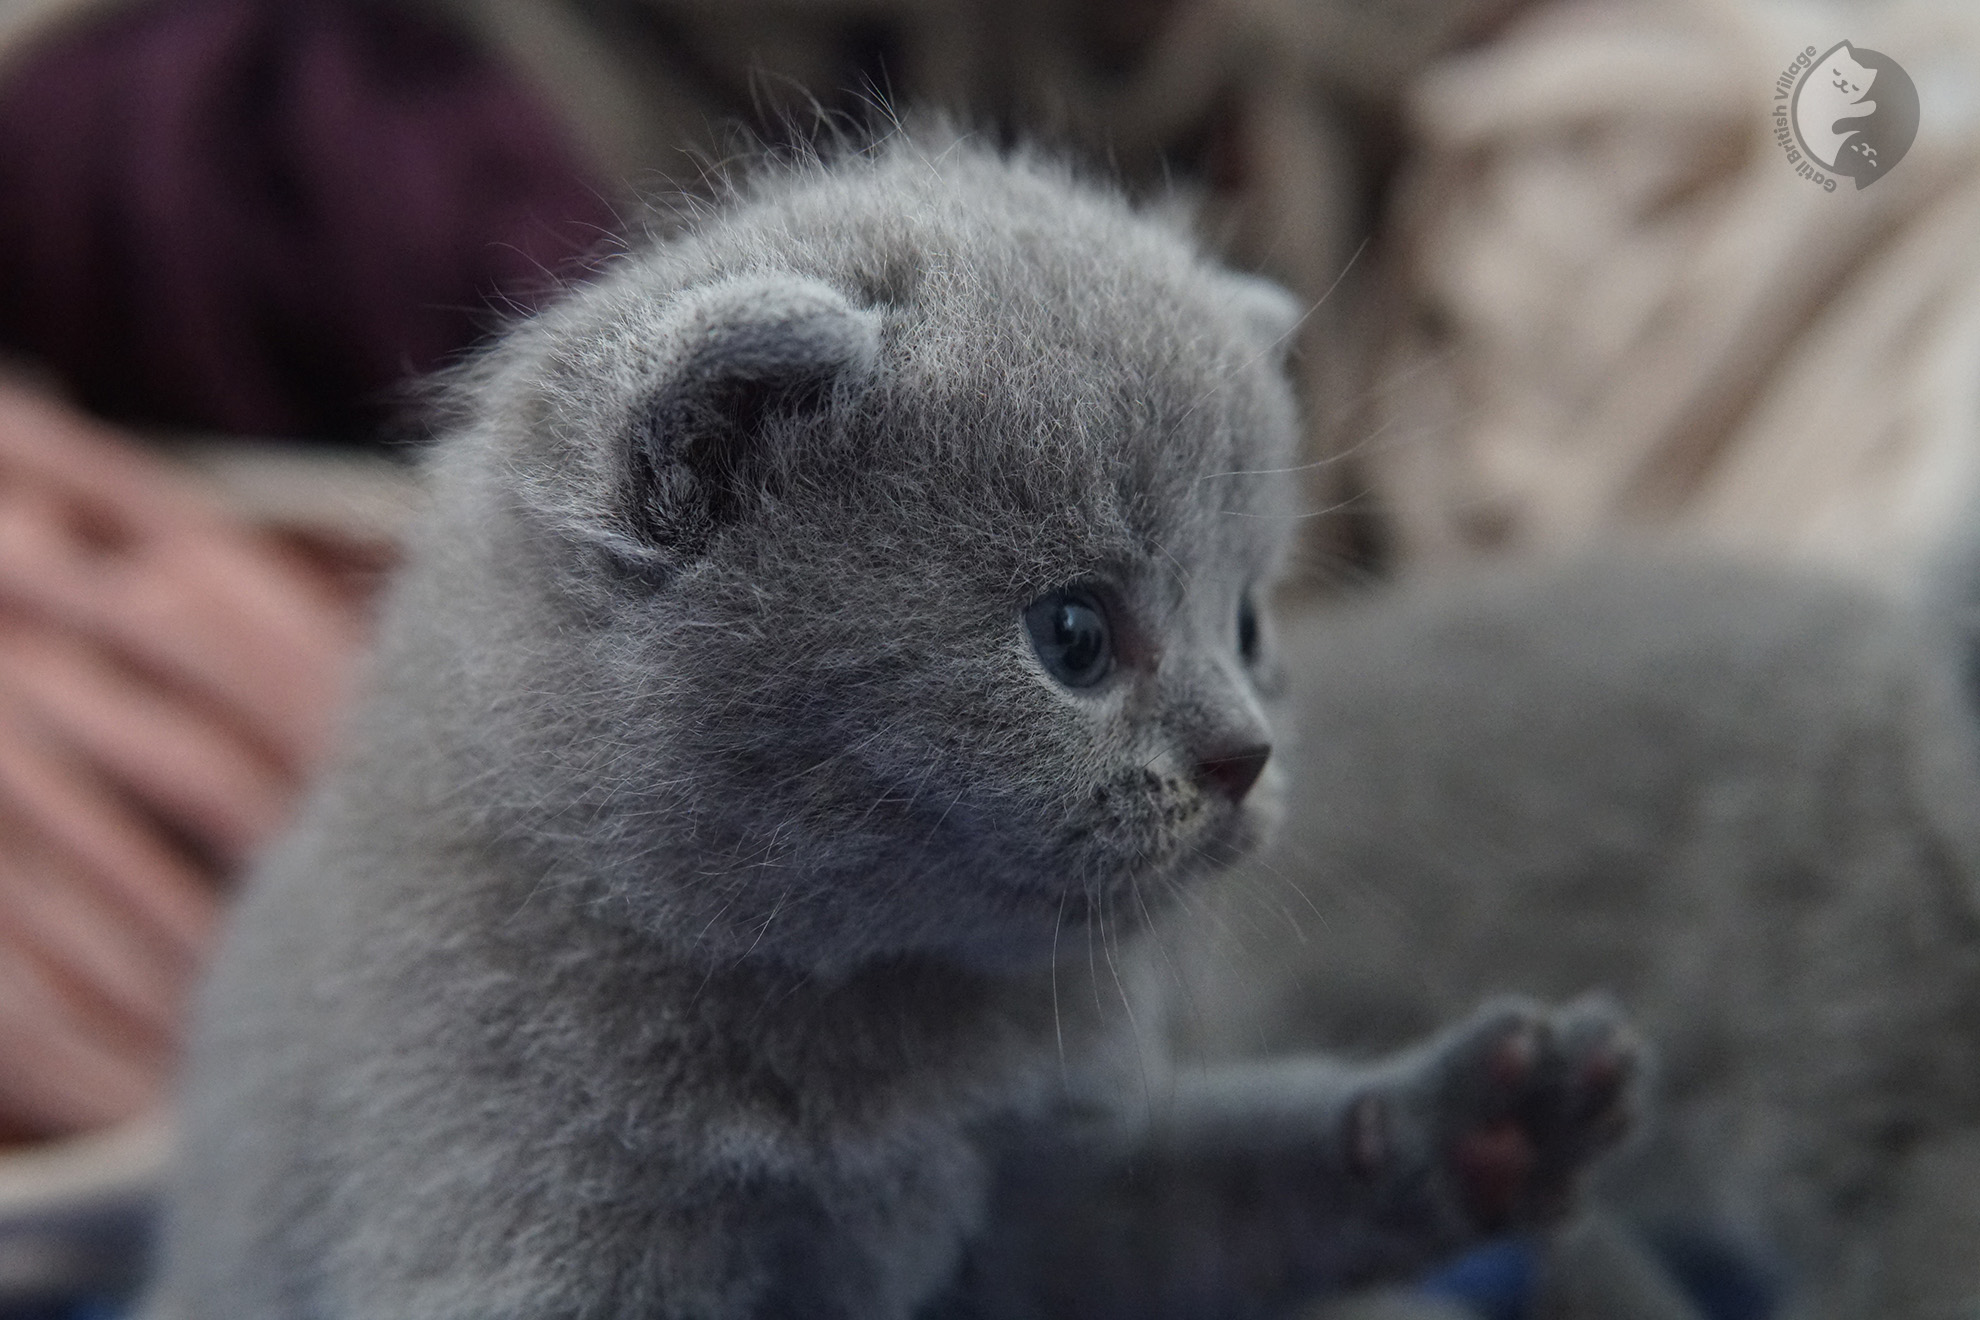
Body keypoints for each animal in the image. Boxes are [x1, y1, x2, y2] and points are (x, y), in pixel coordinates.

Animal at [150, 142, 1639, 1320]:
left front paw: (1491, 1120)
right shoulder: (510, 1208)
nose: (1243, 757)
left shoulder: (1041, 1199)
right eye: (1074, 635)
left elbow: (1224, 1190)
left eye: (1252, 624)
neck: (880, 1045)